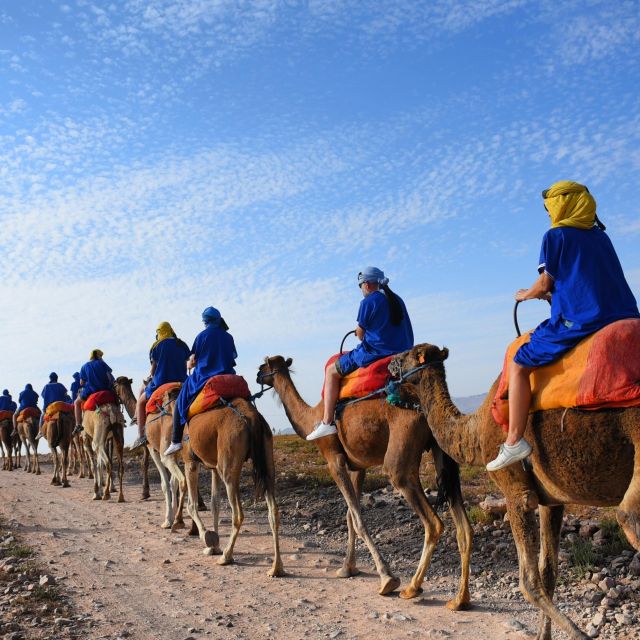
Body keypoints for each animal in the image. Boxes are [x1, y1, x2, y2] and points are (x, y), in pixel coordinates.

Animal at [178, 394, 284, 578]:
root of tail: (252, 417)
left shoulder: (190, 461)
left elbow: (191, 505)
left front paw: (207, 538)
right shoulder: (213, 468)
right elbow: (215, 504)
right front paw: (214, 547)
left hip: (228, 463)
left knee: (238, 513)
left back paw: (226, 556)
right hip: (267, 459)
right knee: (273, 511)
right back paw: (276, 568)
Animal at [256, 356, 473, 606]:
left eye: (264, 365)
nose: (256, 375)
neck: (311, 418)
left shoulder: (334, 460)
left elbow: (358, 520)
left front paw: (387, 578)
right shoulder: (357, 466)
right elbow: (350, 516)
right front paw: (347, 568)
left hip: (400, 458)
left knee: (432, 521)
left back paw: (411, 588)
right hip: (443, 448)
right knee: (464, 527)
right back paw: (459, 600)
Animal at [389, 344, 640, 640]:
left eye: (405, 356)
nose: (388, 364)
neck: (475, 430)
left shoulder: (517, 493)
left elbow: (529, 582)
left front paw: (580, 635)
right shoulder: (550, 500)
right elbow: (548, 572)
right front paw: (544, 635)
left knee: (627, 515)